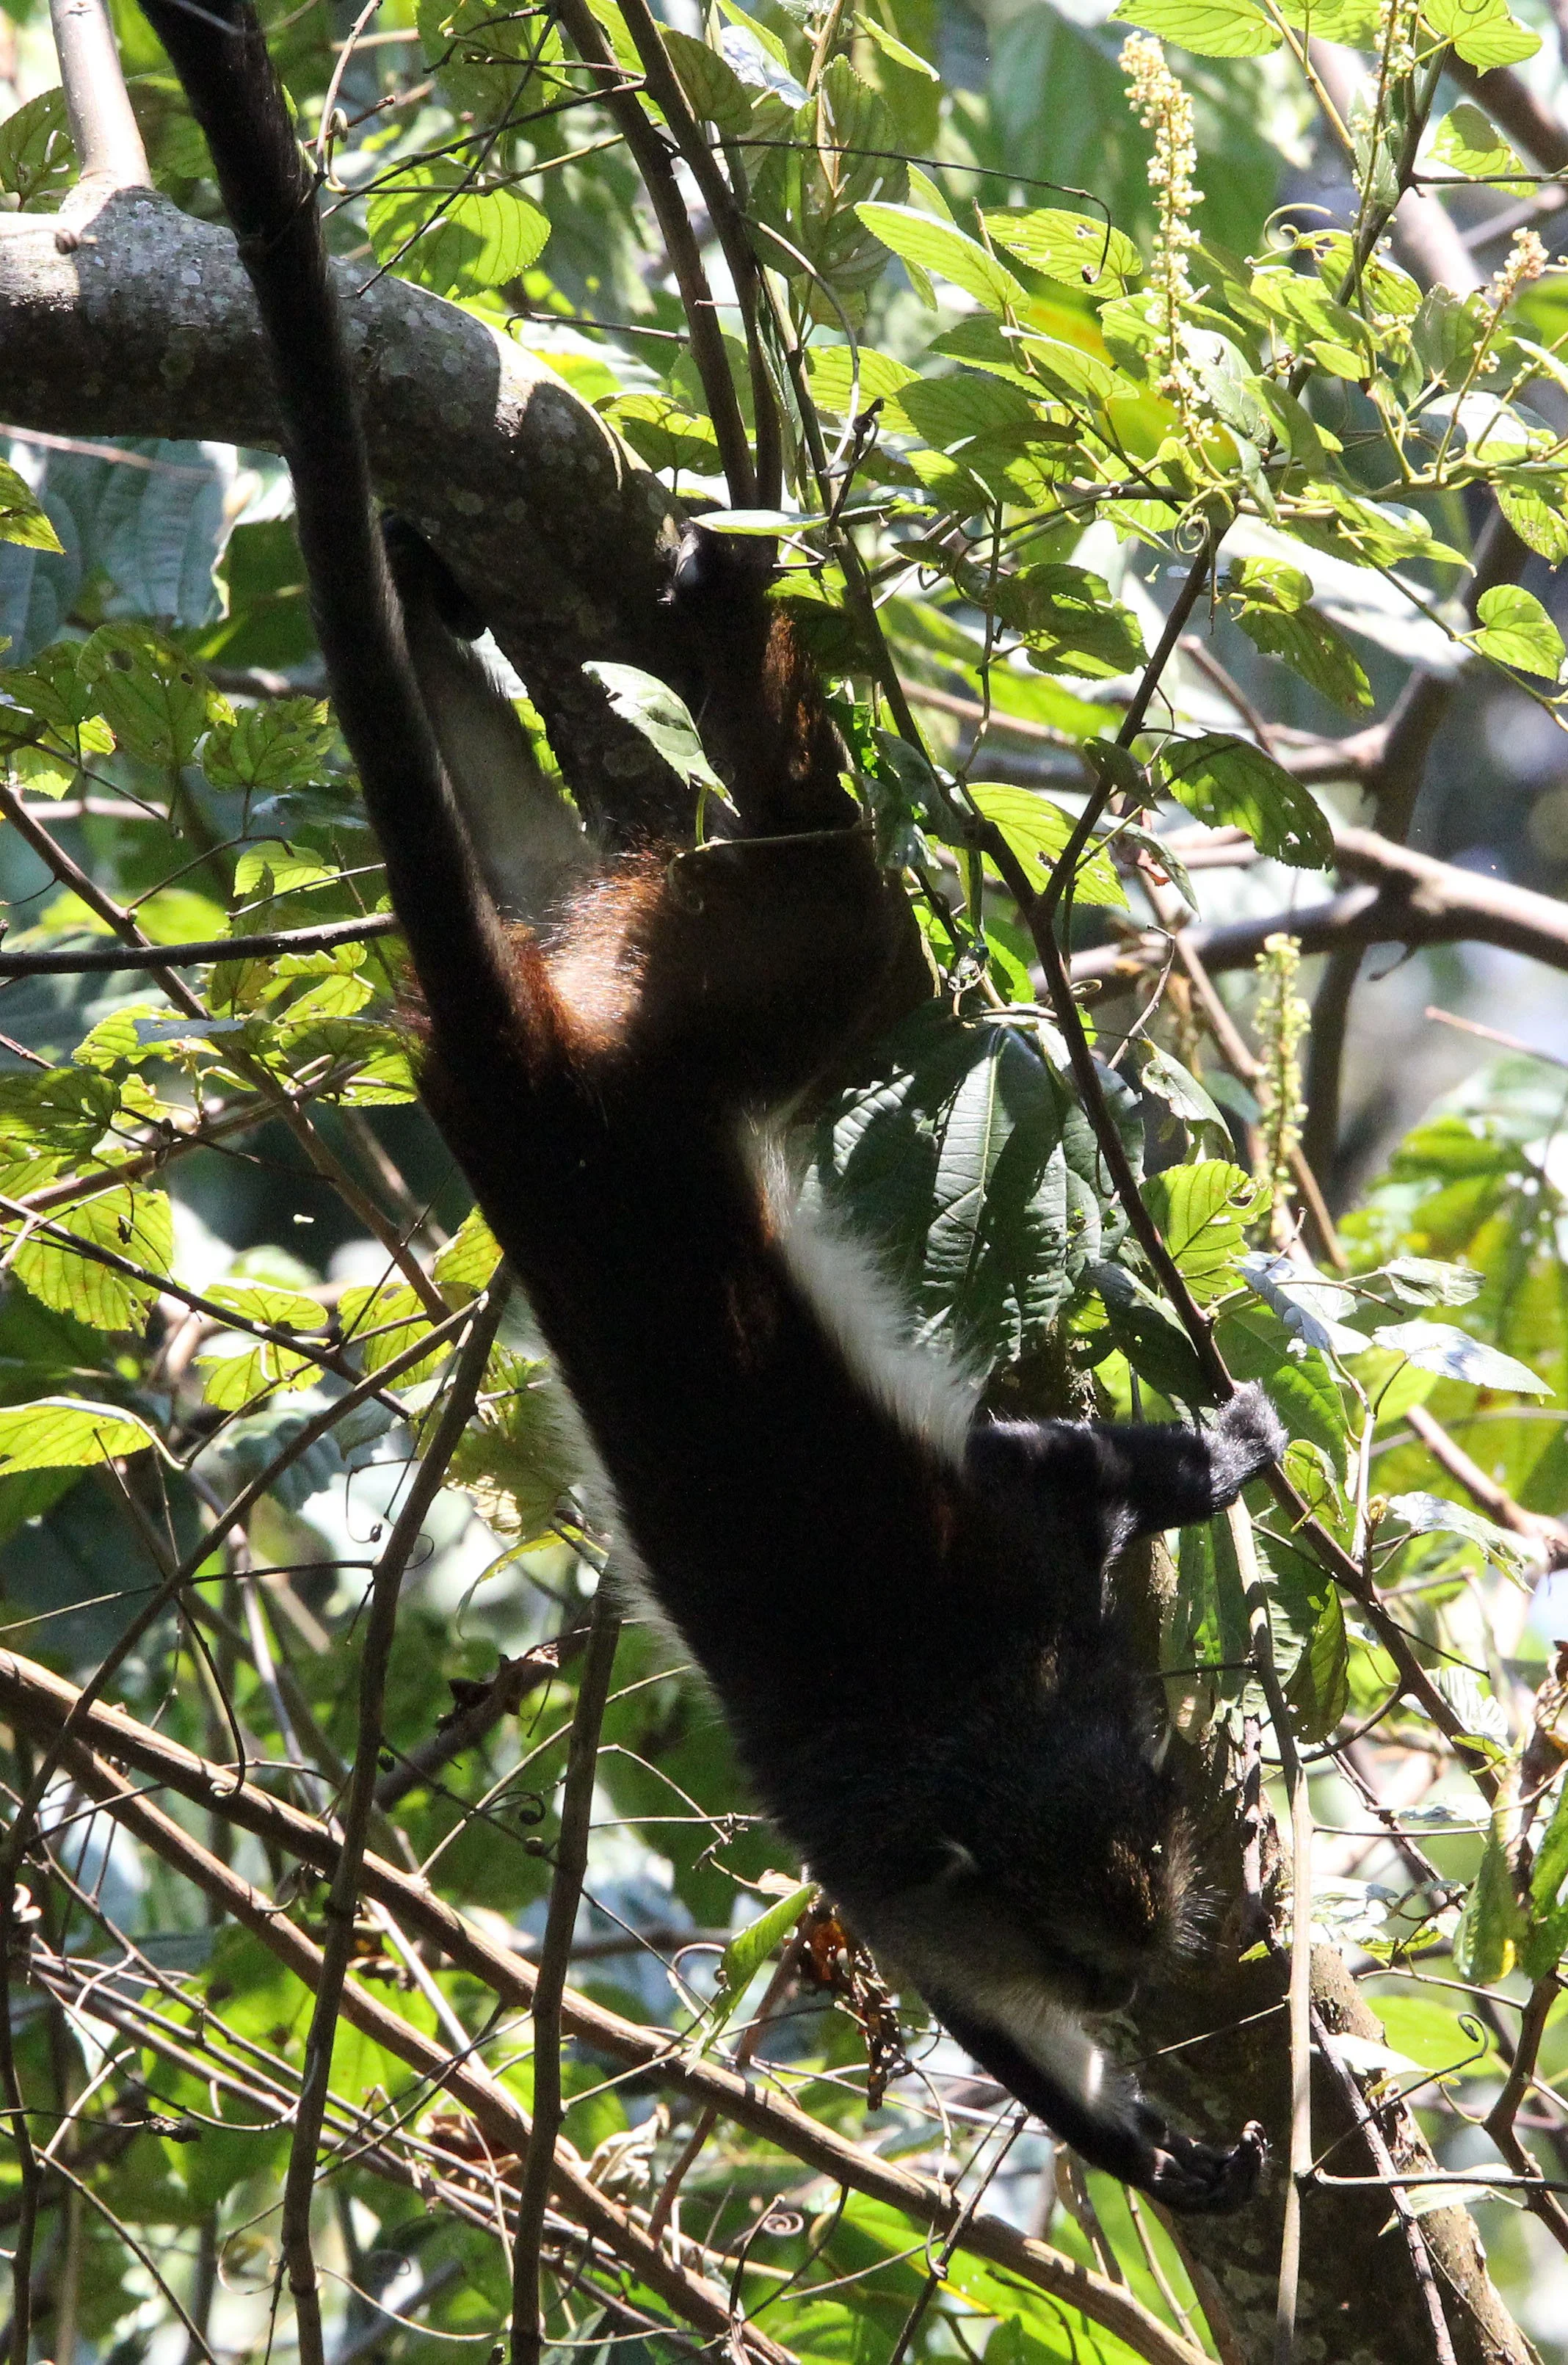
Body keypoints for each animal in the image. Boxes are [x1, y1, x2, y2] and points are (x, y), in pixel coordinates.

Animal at [140, 0, 1280, 2213]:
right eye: (1093, 1957)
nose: (1148, 1967)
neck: (972, 1752)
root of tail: (536, 1100)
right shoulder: (955, 1764)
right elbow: (1047, 1494)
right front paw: (1128, 2142)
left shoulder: (1009, 1659)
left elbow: (1050, 1474)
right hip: (680, 1014)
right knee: (836, 921)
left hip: (652, 989)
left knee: (754, 884)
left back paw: (592, 607)